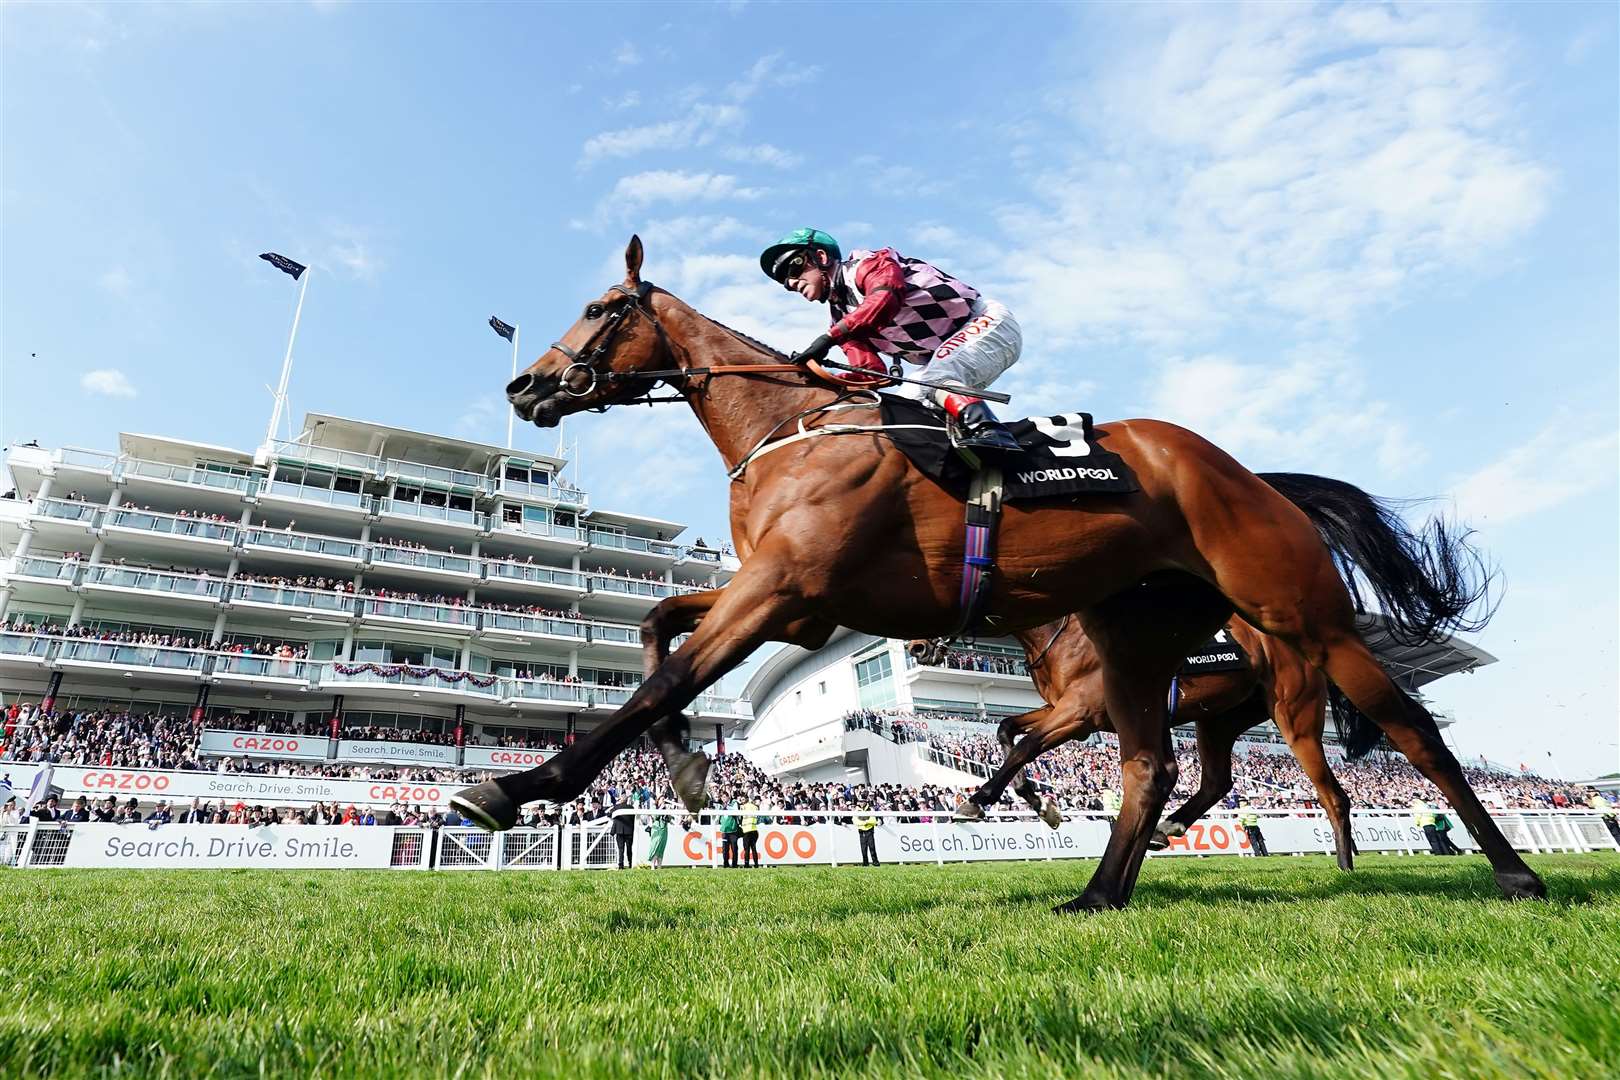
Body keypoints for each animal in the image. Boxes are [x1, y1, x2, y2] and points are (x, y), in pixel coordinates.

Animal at [939, 615, 1367, 867]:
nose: (923, 647)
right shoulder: (1067, 709)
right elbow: (1006, 729)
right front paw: (1042, 805)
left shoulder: (1080, 711)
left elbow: (1024, 745)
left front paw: (978, 801)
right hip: (1219, 718)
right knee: (1217, 782)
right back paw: (1167, 827)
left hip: (1294, 717)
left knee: (1333, 795)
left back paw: (1345, 868)